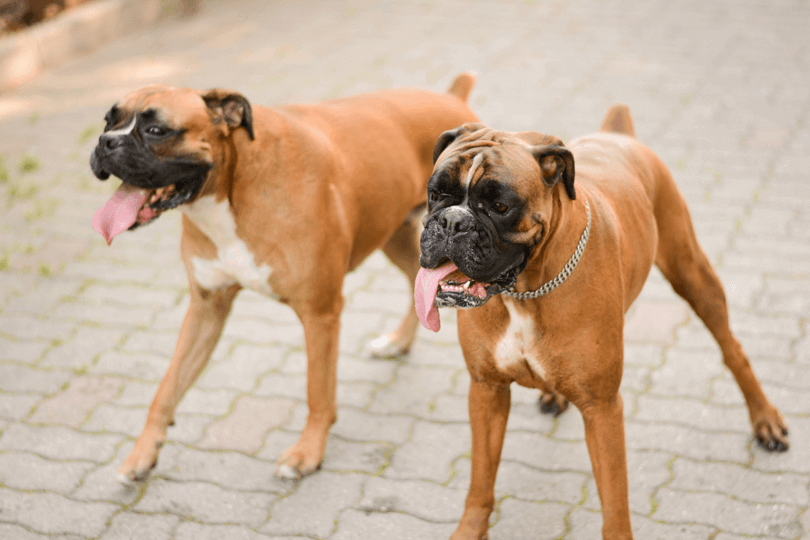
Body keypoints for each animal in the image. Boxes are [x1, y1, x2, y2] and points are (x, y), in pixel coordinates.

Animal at [414, 105, 784, 540]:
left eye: (501, 206)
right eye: (437, 194)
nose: (452, 222)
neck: (526, 292)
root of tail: (617, 134)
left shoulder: (602, 409)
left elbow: (615, 504)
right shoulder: (486, 391)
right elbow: (480, 482)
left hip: (693, 275)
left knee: (732, 349)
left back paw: (765, 420)